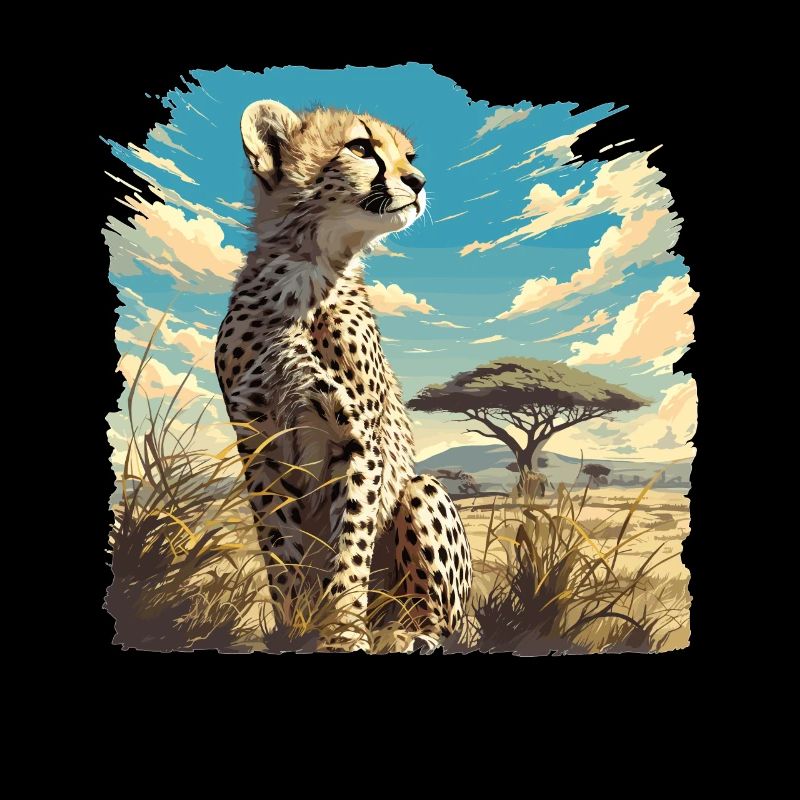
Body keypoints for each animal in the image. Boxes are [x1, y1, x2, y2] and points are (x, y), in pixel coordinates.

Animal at [215, 99, 472, 652]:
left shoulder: (358, 440)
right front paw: (294, 628)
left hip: (422, 491)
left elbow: (351, 544)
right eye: (360, 147)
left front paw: (341, 634)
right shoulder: (259, 444)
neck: (306, 272)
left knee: (442, 620)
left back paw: (402, 633)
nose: (418, 181)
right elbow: (277, 544)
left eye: (410, 156)